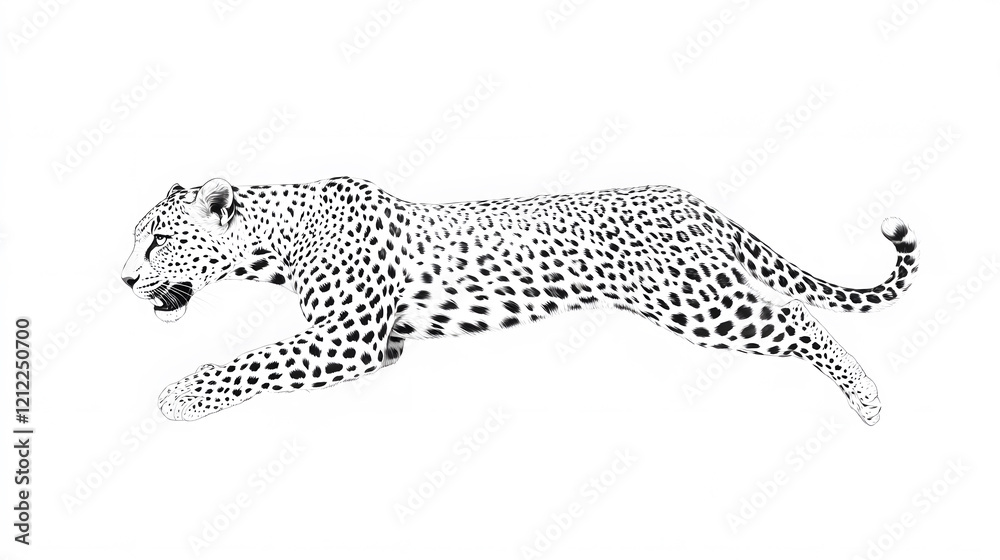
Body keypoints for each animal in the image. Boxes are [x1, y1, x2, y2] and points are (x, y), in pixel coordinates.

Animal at [122, 177, 919, 425]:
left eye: (156, 243)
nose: (124, 282)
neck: (279, 241)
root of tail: (690, 198)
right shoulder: (372, 343)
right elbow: (263, 359)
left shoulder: (348, 338)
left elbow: (254, 362)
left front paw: (179, 397)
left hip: (698, 303)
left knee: (796, 318)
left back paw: (869, 399)